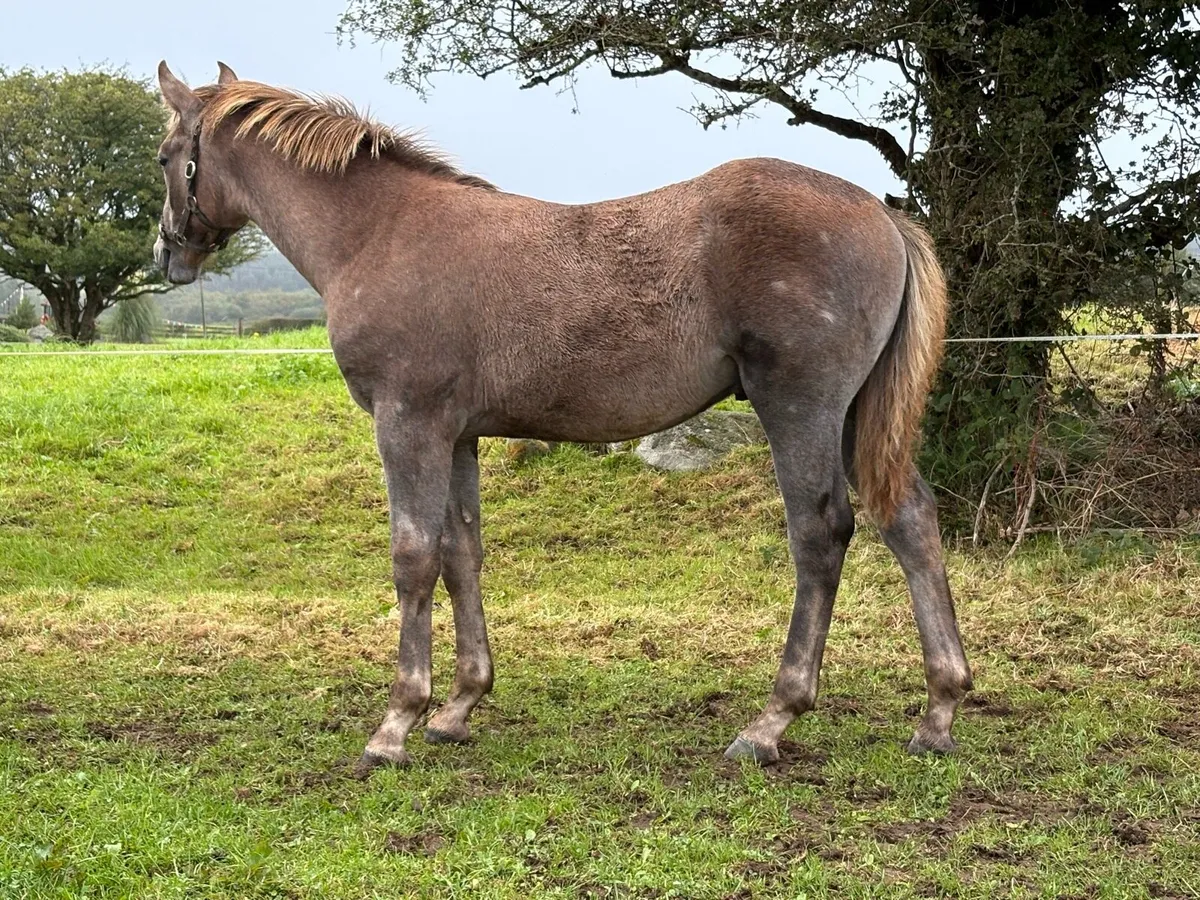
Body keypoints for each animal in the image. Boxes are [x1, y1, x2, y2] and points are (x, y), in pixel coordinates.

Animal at [153, 61, 972, 775]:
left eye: (166, 157)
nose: (168, 254)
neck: (379, 233)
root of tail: (882, 215)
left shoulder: (407, 423)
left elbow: (413, 557)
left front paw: (396, 725)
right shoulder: (458, 436)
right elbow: (461, 553)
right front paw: (458, 707)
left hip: (800, 406)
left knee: (821, 531)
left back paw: (771, 721)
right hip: (856, 414)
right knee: (908, 518)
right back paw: (939, 710)